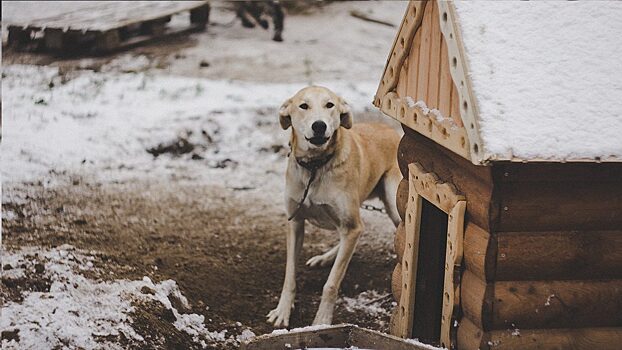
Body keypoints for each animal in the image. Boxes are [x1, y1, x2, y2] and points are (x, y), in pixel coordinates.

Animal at [266, 86, 402, 326]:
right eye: (303, 106)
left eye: (330, 105)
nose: (319, 125)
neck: (315, 166)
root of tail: (392, 130)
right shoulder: (295, 222)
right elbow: (289, 275)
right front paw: (282, 311)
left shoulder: (350, 225)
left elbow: (331, 284)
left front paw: (321, 321)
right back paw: (325, 257)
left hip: (393, 204)